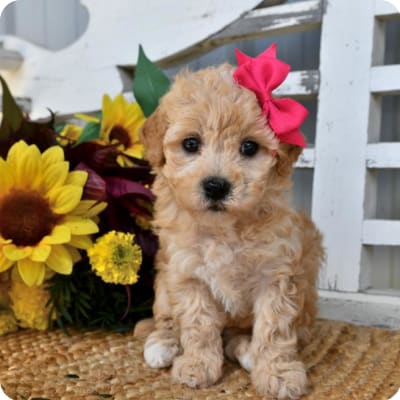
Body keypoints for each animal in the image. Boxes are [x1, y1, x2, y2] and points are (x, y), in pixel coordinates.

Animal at [139, 64, 324, 398]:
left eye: (249, 147)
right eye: (190, 144)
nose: (215, 185)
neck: (225, 228)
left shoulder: (277, 273)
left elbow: (275, 328)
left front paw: (277, 373)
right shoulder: (187, 272)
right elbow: (198, 324)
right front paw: (197, 365)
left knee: (236, 336)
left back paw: (248, 351)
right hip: (163, 283)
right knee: (166, 319)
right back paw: (162, 345)